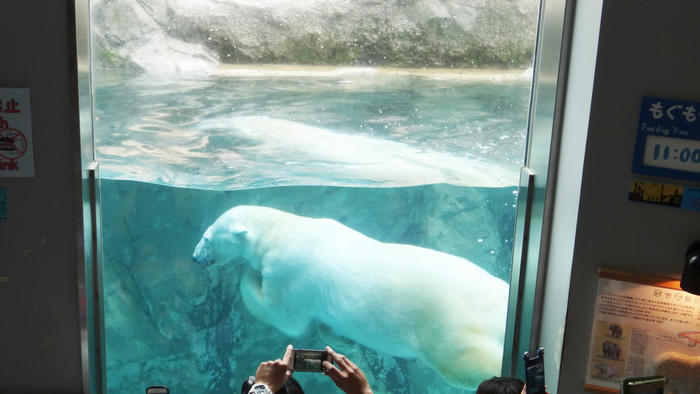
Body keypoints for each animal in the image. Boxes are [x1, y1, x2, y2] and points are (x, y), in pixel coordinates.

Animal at [191, 205, 508, 390]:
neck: (282, 231)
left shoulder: (289, 272)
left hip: (446, 326)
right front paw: (341, 339)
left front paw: (247, 275)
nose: (195, 257)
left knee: (463, 362)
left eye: (207, 237)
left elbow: (284, 316)